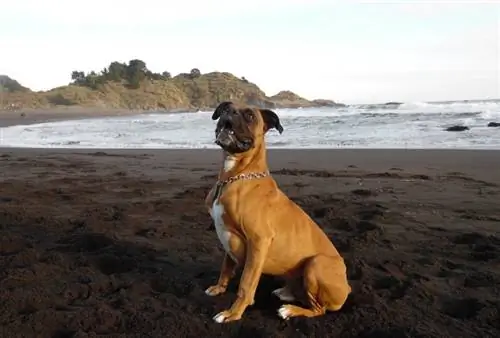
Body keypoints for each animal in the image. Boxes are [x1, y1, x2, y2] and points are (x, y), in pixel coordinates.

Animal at [203, 101, 352, 324]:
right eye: (226, 108)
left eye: (249, 116)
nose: (231, 112)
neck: (235, 175)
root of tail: (347, 288)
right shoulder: (227, 237)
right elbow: (226, 267)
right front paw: (219, 288)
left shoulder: (258, 241)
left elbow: (246, 284)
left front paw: (233, 313)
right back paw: (287, 292)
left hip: (316, 263)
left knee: (319, 309)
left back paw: (290, 310)